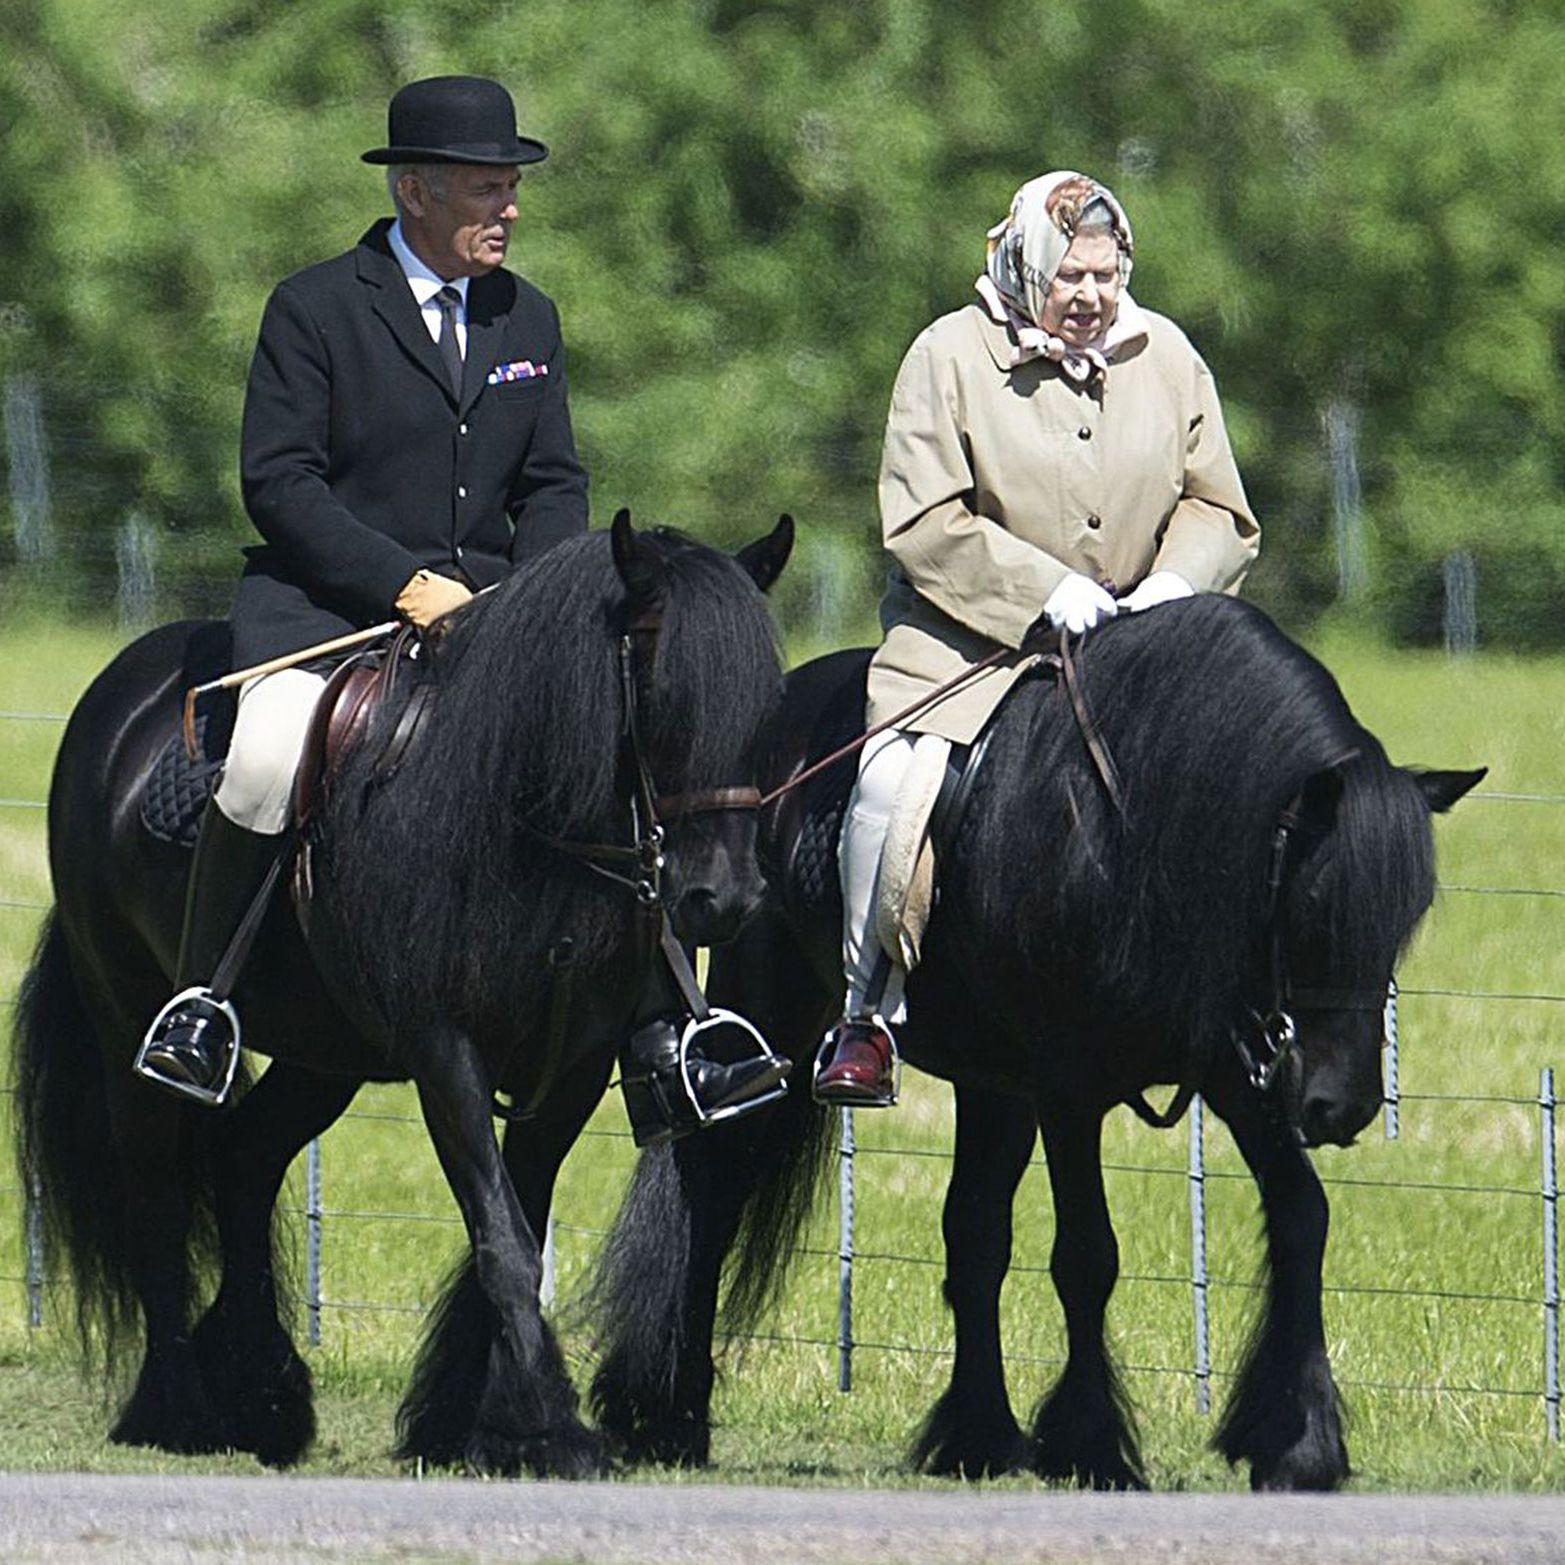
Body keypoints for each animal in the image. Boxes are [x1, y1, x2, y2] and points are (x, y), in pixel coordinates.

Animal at [9, 513, 795, 1477]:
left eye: (763, 701)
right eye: (655, 684)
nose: (722, 898)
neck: (511, 814)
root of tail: (124, 689)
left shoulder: (569, 1066)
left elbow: (518, 1223)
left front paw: (473, 1421)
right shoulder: (443, 1050)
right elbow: (501, 1237)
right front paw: (545, 1427)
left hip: (322, 1053)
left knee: (243, 1158)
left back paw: (264, 1394)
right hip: (128, 1010)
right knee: (156, 1191)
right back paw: (179, 1406)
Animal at [585, 594, 1477, 1489]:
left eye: (1405, 917)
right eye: (1314, 906)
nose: (1339, 1105)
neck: (1134, 825)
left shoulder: (1237, 1071)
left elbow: (1301, 1216)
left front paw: (1299, 1440)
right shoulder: (1068, 1085)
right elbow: (1087, 1255)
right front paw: (1091, 1443)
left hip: (991, 1084)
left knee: (974, 1232)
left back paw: (975, 1434)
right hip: (776, 1014)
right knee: (713, 1188)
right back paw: (669, 1414)